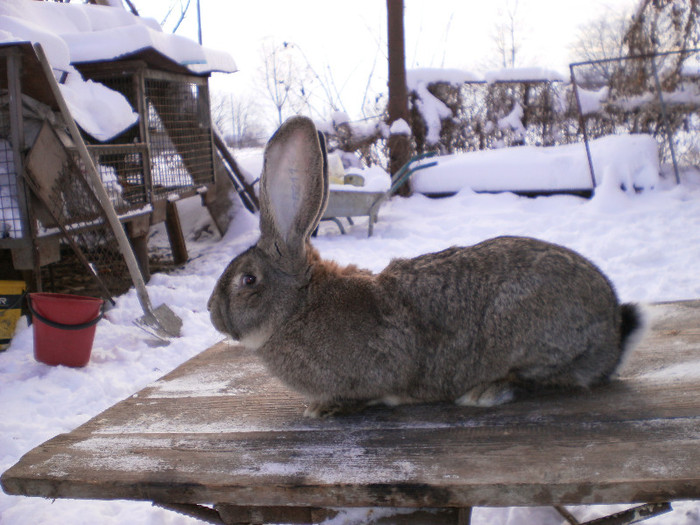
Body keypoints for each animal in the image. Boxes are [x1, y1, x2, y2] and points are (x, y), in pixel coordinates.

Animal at [205, 115, 644, 418]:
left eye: (248, 279)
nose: (212, 313)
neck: (297, 306)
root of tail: (614, 330)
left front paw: (323, 408)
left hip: (528, 333)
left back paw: (486, 392)